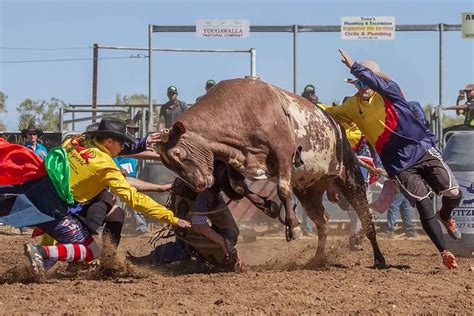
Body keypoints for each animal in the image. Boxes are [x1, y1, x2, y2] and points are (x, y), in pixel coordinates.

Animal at [157, 78, 386, 268]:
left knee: (366, 218)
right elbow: (239, 189)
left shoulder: (284, 154)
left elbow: (283, 190)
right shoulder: (237, 161)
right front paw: (269, 207)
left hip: (350, 178)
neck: (243, 110)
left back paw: (379, 259)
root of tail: (338, 126)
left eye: (178, 153)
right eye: (167, 163)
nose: (198, 185)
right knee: (322, 221)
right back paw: (318, 259)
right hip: (309, 190)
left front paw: (293, 227)